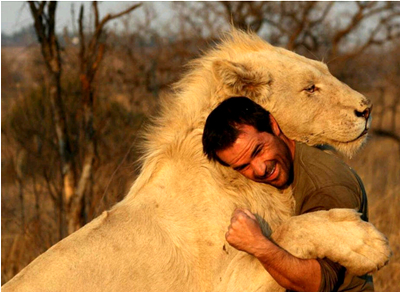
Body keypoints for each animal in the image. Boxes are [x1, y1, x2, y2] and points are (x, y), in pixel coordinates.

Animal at [2, 30, 390, 292]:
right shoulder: (222, 283)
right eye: (310, 88)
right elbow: (289, 230)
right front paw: (363, 242)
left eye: (325, 71)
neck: (240, 180)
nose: (367, 108)